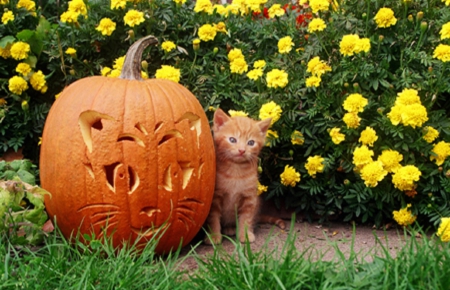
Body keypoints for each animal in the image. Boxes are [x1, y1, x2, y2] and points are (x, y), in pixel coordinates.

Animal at [204, 109, 284, 245]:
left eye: (251, 142)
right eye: (232, 140)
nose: (242, 150)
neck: (236, 171)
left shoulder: (250, 198)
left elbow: (246, 218)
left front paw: (245, 235)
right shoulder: (215, 198)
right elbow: (213, 217)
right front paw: (214, 236)